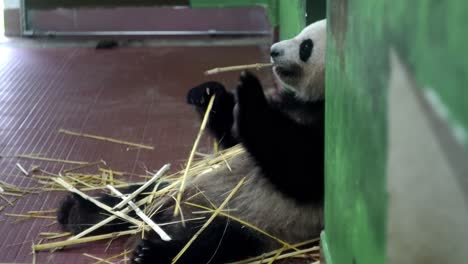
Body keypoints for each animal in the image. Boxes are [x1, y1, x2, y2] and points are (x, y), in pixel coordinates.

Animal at [57, 19, 326, 264]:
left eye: (306, 46)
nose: (274, 51)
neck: (313, 102)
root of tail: (179, 216)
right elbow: (234, 143)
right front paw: (209, 94)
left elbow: (298, 170)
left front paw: (250, 97)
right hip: (176, 188)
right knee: (138, 196)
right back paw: (79, 212)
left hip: (254, 224)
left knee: (211, 242)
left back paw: (151, 253)